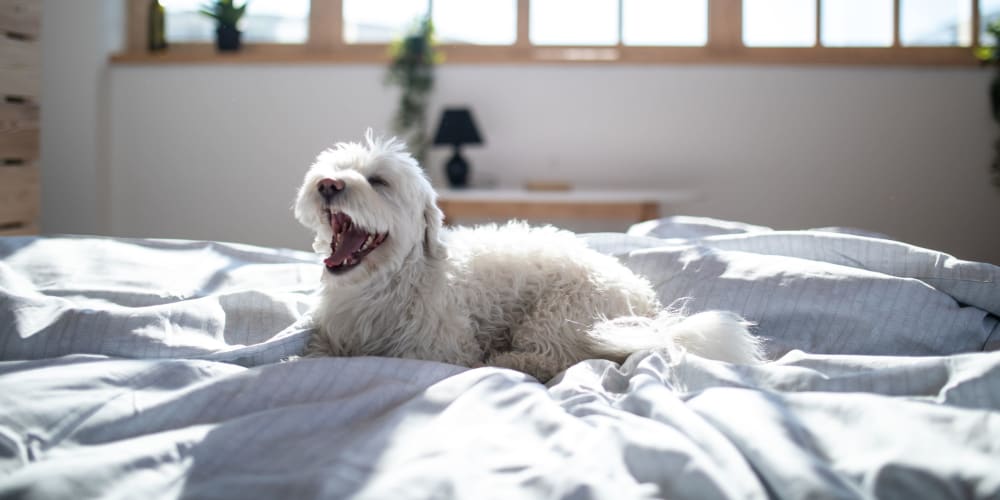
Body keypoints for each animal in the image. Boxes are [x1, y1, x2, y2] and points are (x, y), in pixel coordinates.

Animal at [292, 131, 760, 380]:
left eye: (378, 181)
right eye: (332, 169)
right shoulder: (331, 336)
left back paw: (510, 361)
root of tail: (649, 308)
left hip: (559, 313)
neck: (384, 285)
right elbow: (315, 352)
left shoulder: (440, 350)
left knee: (561, 359)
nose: (328, 184)